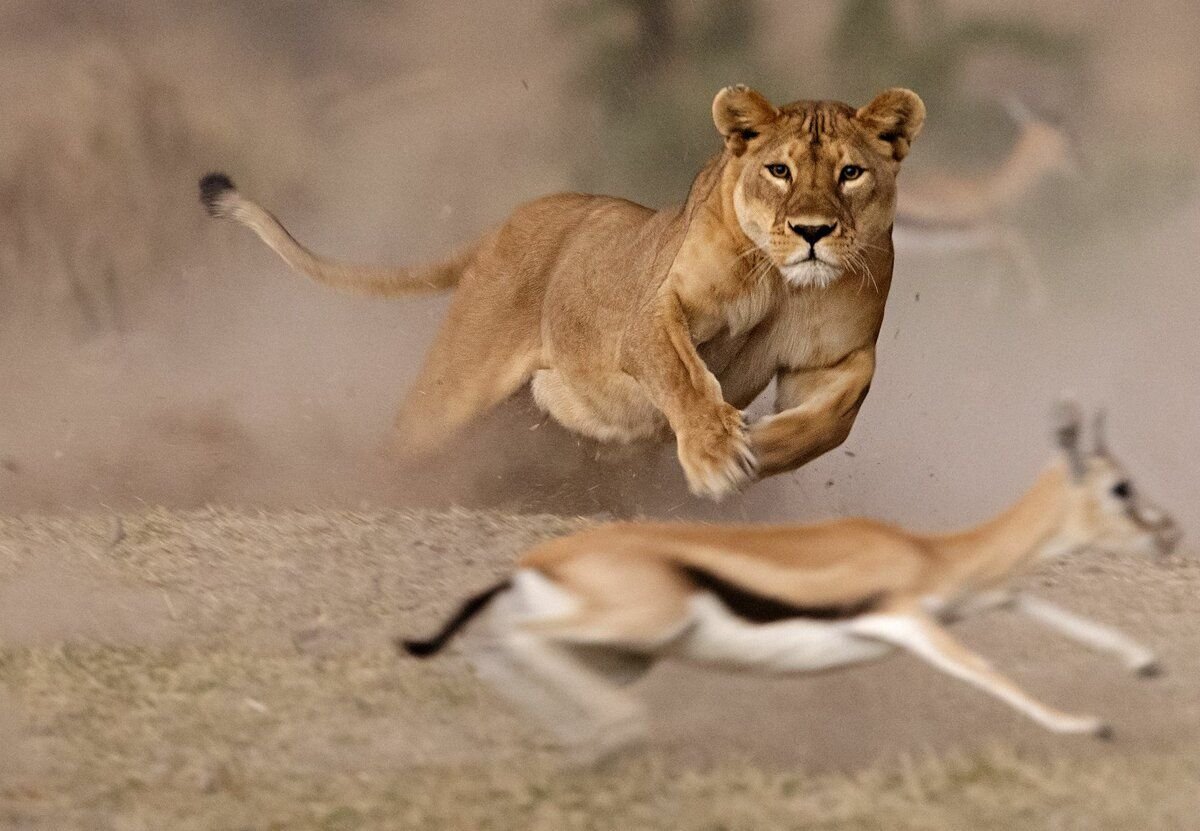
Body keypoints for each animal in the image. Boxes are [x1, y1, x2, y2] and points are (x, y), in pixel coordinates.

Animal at [403, 398, 1180, 754]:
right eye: (1120, 487)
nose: (1169, 532)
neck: (928, 553)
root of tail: (535, 561)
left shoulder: (973, 596)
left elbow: (1034, 604)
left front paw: (1146, 663)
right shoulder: (908, 618)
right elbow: (989, 671)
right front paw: (1089, 724)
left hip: (623, 653)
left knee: (500, 645)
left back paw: (589, 743)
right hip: (638, 627)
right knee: (510, 640)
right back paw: (608, 738)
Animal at [892, 99, 1080, 307]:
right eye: (1067, 134)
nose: (1078, 163)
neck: (986, 188)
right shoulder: (975, 230)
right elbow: (1013, 242)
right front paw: (1037, 301)